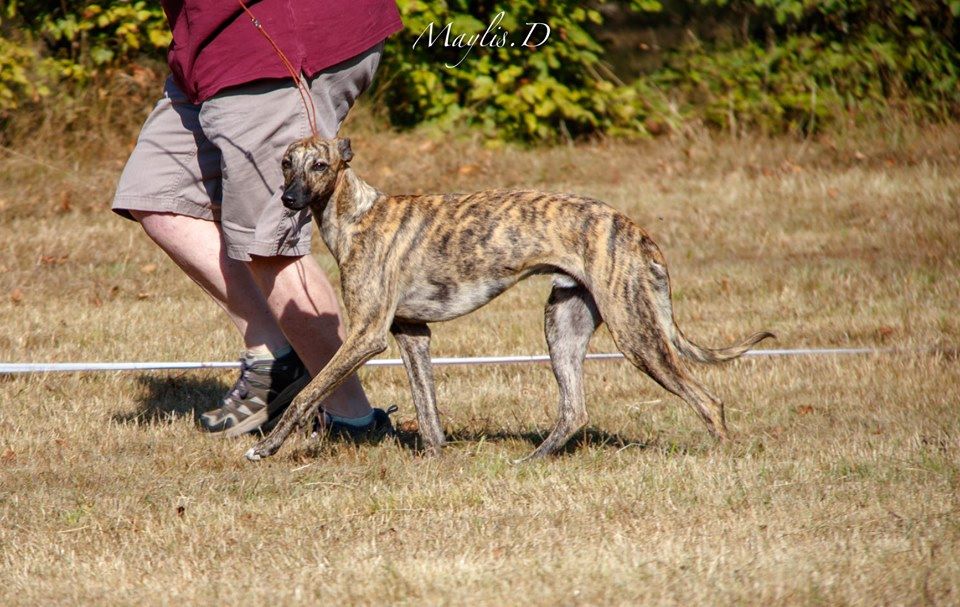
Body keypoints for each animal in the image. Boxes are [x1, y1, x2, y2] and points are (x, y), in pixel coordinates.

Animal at [242, 138, 772, 460]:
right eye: (286, 162)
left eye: (320, 165)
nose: (288, 199)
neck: (357, 214)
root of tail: (637, 231)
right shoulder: (412, 334)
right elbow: (428, 410)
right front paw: (437, 461)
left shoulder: (366, 336)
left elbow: (307, 393)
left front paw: (267, 448)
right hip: (563, 323)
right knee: (574, 410)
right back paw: (532, 460)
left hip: (635, 334)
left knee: (708, 399)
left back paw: (723, 455)